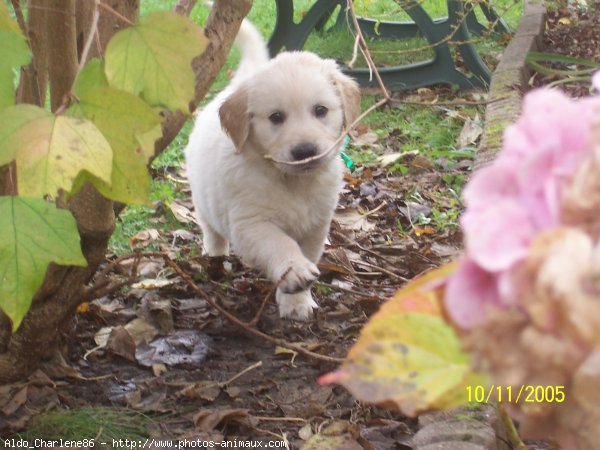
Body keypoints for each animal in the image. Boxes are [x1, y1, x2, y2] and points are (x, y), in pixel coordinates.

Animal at [185, 19, 358, 318]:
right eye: (276, 117)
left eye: (321, 110)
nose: (305, 151)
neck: (291, 181)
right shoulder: (250, 224)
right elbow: (279, 243)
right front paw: (295, 270)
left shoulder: (316, 227)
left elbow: (305, 253)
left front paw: (297, 302)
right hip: (203, 201)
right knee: (212, 232)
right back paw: (215, 256)